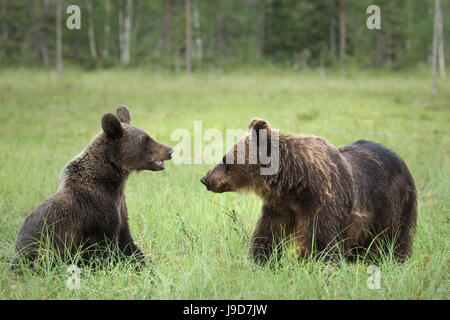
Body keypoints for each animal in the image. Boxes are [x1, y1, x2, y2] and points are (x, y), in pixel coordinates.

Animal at [13, 106, 172, 266]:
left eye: (148, 136)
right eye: (145, 140)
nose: (170, 150)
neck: (111, 182)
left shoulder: (120, 207)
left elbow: (127, 242)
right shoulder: (95, 210)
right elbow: (104, 249)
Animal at [201, 119, 418, 264]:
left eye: (225, 158)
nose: (205, 179)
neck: (294, 183)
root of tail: (400, 158)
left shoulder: (323, 203)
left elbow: (323, 242)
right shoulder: (280, 206)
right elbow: (268, 235)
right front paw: (261, 261)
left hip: (393, 204)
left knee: (394, 238)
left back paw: (395, 259)